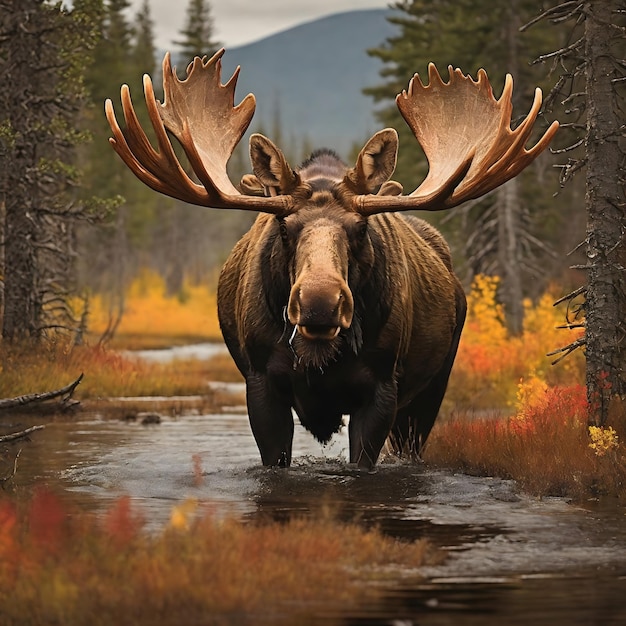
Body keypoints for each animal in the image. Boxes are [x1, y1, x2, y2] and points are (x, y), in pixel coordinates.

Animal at [105, 50, 560, 468]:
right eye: (284, 227)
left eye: (360, 229)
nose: (319, 303)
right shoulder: (260, 383)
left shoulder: (382, 388)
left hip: (431, 390)